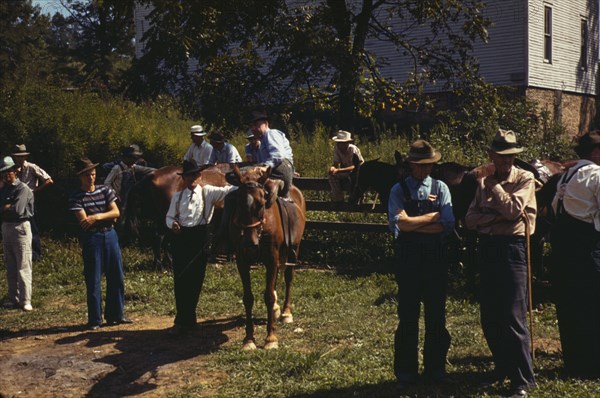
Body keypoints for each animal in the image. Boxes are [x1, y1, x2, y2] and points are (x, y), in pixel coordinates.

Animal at [229, 166, 308, 350]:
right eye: (238, 203)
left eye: (261, 204)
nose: (249, 242)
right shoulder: (242, 262)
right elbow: (248, 298)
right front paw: (249, 339)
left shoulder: (271, 259)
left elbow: (268, 297)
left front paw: (271, 338)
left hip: (294, 249)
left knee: (288, 277)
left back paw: (286, 312)